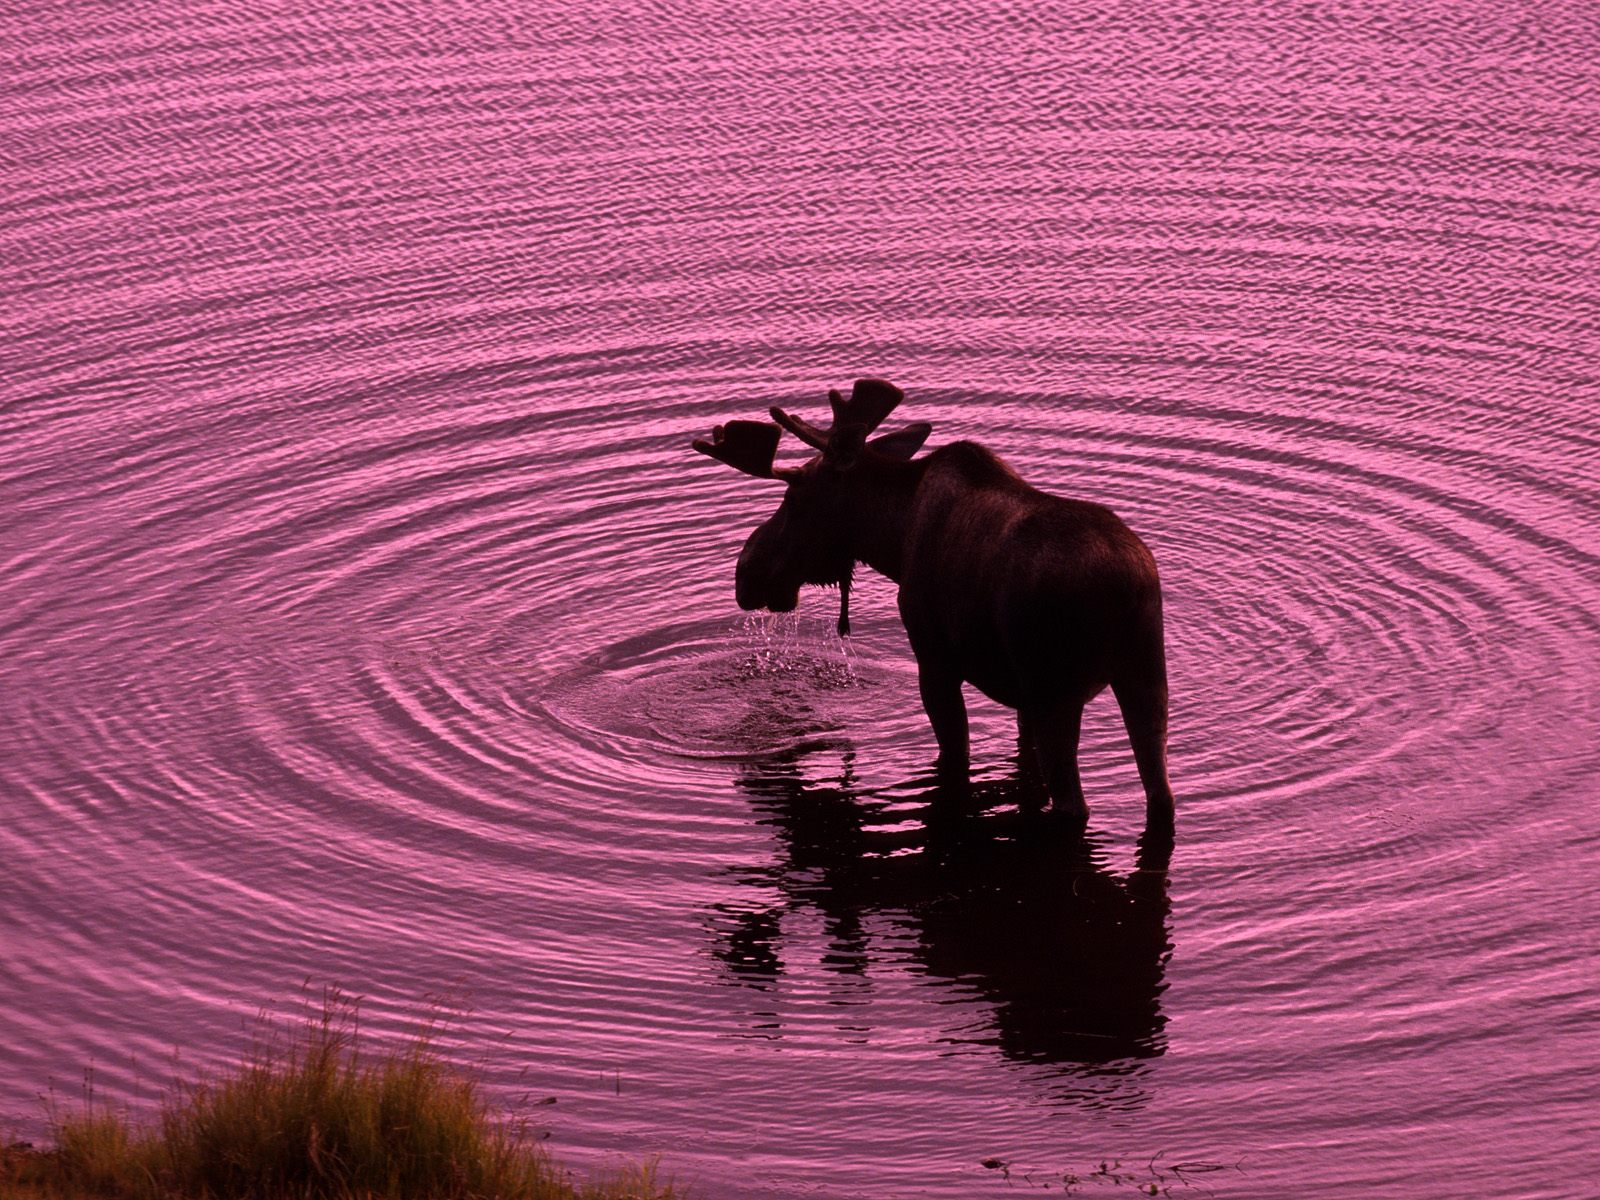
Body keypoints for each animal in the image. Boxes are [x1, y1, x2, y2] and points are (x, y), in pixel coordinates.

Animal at [691, 377, 1177, 838]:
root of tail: (1129, 587)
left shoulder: (936, 660)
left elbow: (954, 754)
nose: (745, 573)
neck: (892, 532)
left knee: (1075, 804)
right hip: (1146, 677)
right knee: (1161, 792)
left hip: (1056, 689)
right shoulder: (1020, 691)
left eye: (794, 499)